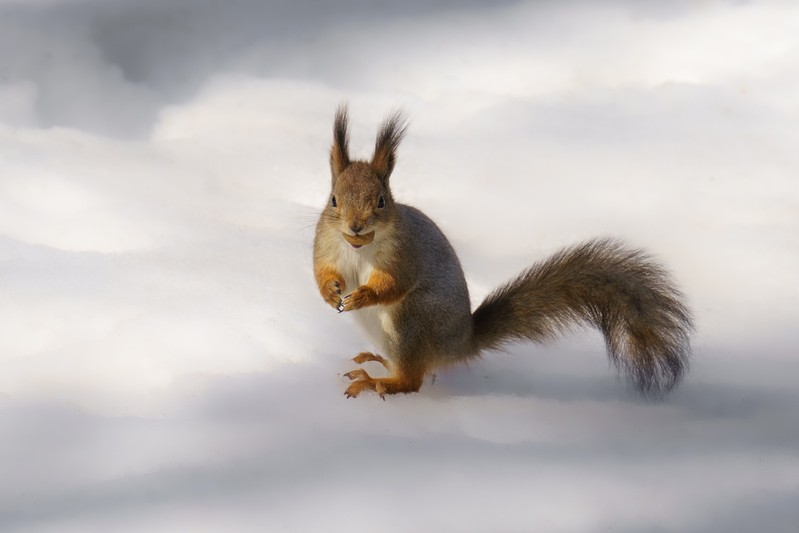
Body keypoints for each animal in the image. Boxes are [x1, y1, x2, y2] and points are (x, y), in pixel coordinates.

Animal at [312, 106, 692, 400]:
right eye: (333, 199)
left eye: (381, 201)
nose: (355, 227)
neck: (359, 248)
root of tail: (460, 343)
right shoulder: (325, 245)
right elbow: (322, 272)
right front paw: (331, 293)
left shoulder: (404, 254)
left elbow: (394, 284)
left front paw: (363, 295)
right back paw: (377, 363)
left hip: (412, 320)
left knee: (413, 380)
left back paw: (378, 383)